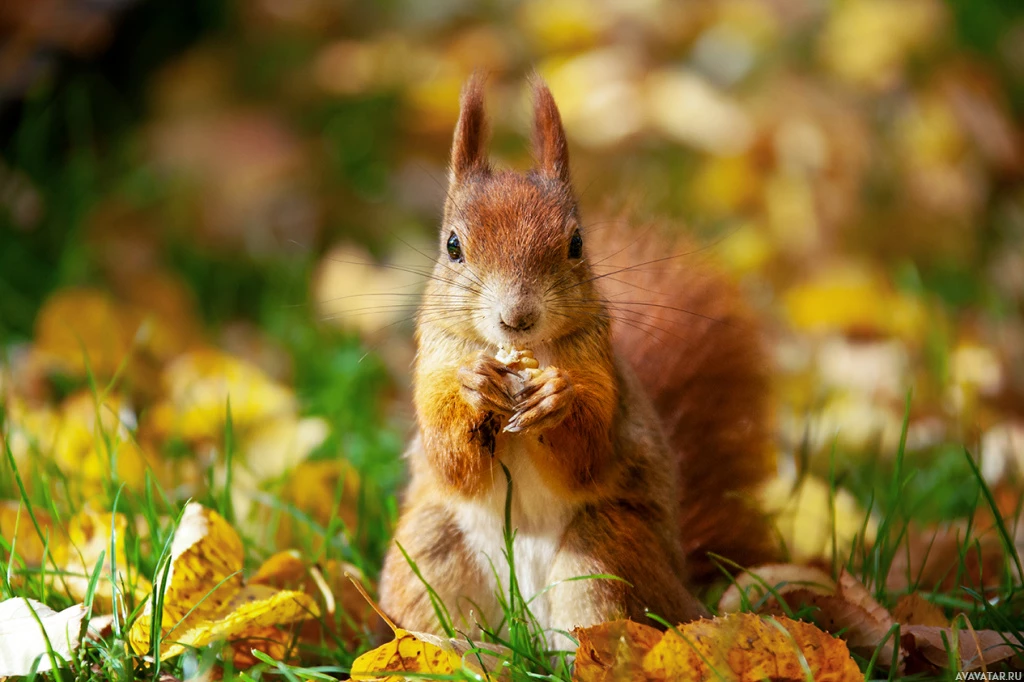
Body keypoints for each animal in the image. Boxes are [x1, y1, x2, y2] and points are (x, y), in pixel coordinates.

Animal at [378, 76, 774, 638]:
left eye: (576, 244)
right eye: (453, 246)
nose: (517, 316)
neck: (525, 353)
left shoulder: (603, 373)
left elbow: (589, 453)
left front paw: (555, 398)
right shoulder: (434, 359)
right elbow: (449, 458)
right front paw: (473, 384)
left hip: (606, 553)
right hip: (431, 554)